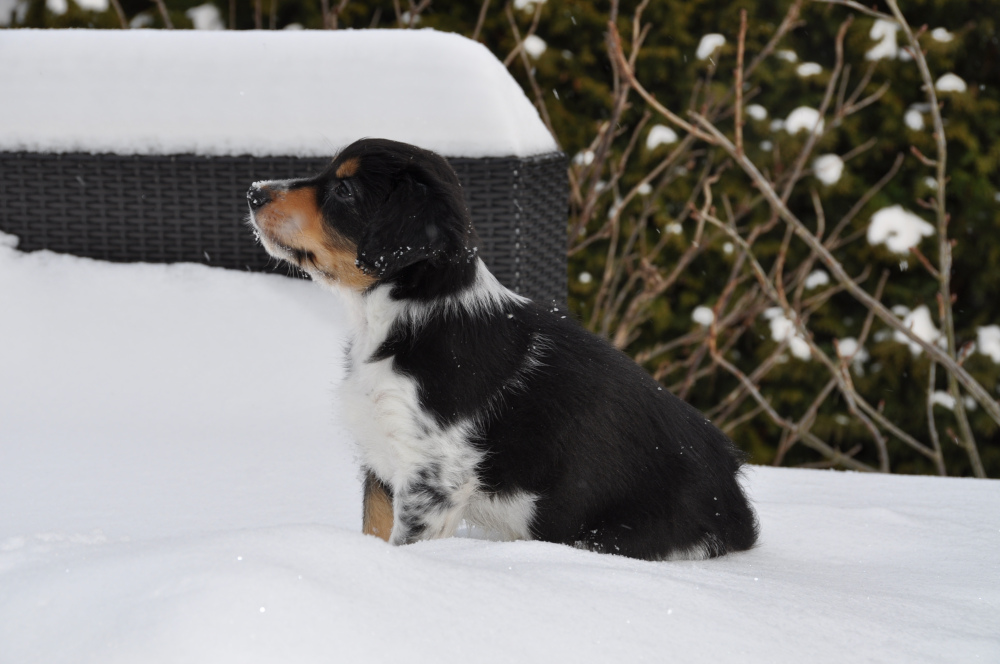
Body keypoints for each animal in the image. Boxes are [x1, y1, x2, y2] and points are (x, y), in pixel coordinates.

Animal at [248, 139, 756, 560]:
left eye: (345, 191)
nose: (254, 193)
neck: (404, 314)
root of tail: (736, 505)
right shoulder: (382, 462)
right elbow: (373, 529)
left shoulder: (434, 477)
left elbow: (404, 545)